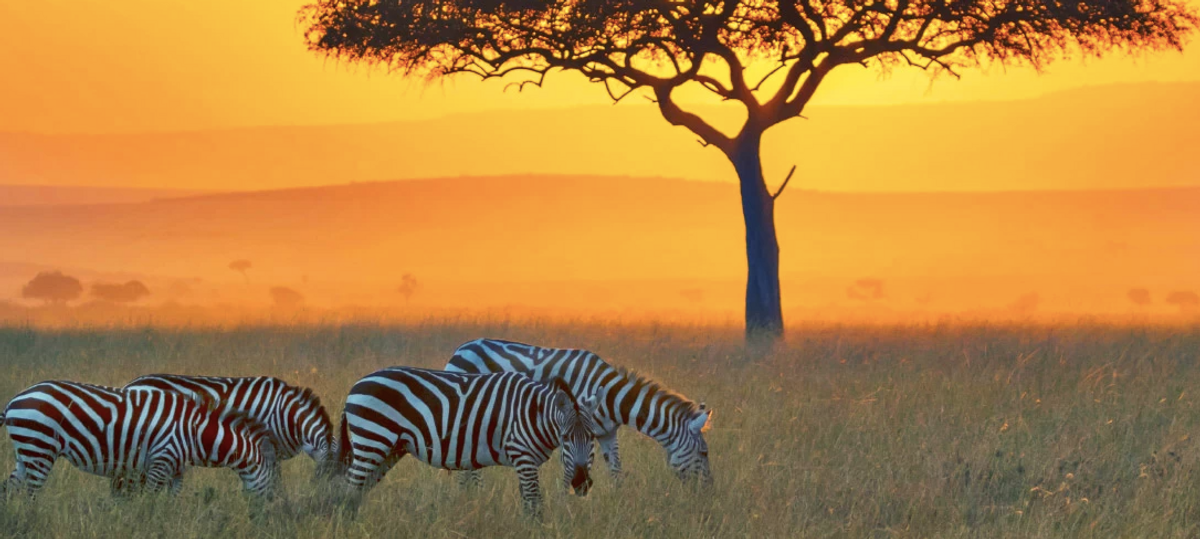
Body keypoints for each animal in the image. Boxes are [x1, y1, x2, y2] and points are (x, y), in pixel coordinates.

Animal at [1, 379, 276, 494]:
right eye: (272, 491)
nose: (265, 520)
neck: (195, 431)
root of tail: (15, 399)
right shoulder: (160, 462)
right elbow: (149, 502)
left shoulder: (177, 470)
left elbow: (172, 502)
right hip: (40, 448)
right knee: (31, 494)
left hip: (26, 452)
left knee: (9, 490)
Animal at [336, 364, 600, 516]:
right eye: (565, 437)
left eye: (593, 437)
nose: (581, 483)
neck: (533, 413)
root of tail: (355, 385)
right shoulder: (523, 456)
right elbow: (535, 504)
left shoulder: (524, 462)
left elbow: (528, 502)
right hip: (372, 440)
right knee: (350, 489)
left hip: (389, 449)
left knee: (358, 490)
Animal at [448, 340, 710, 487]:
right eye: (704, 453)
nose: (709, 493)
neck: (610, 397)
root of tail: (462, 347)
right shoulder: (574, 430)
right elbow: (570, 470)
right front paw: (566, 507)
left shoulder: (606, 433)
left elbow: (616, 471)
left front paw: (621, 503)